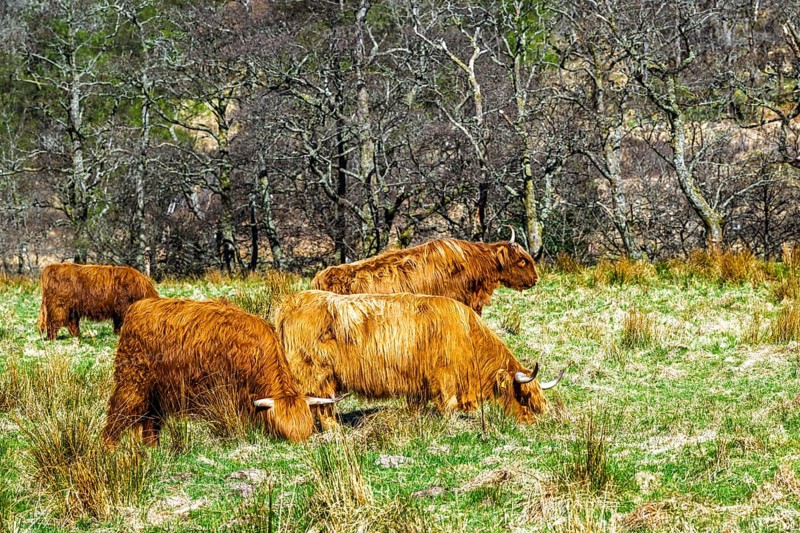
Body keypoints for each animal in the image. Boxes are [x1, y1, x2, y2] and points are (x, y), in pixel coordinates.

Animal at [101, 298, 345, 449]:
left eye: (307, 432)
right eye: (279, 432)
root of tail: (140, 306)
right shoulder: (225, 394)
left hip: (157, 393)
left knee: (151, 421)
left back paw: (153, 448)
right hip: (133, 383)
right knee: (119, 414)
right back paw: (109, 449)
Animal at [276, 290, 564, 429]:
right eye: (524, 397)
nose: (533, 421)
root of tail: (292, 300)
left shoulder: (419, 382)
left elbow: (416, 404)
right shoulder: (445, 375)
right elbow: (449, 403)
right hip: (315, 373)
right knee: (317, 402)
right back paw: (332, 429)